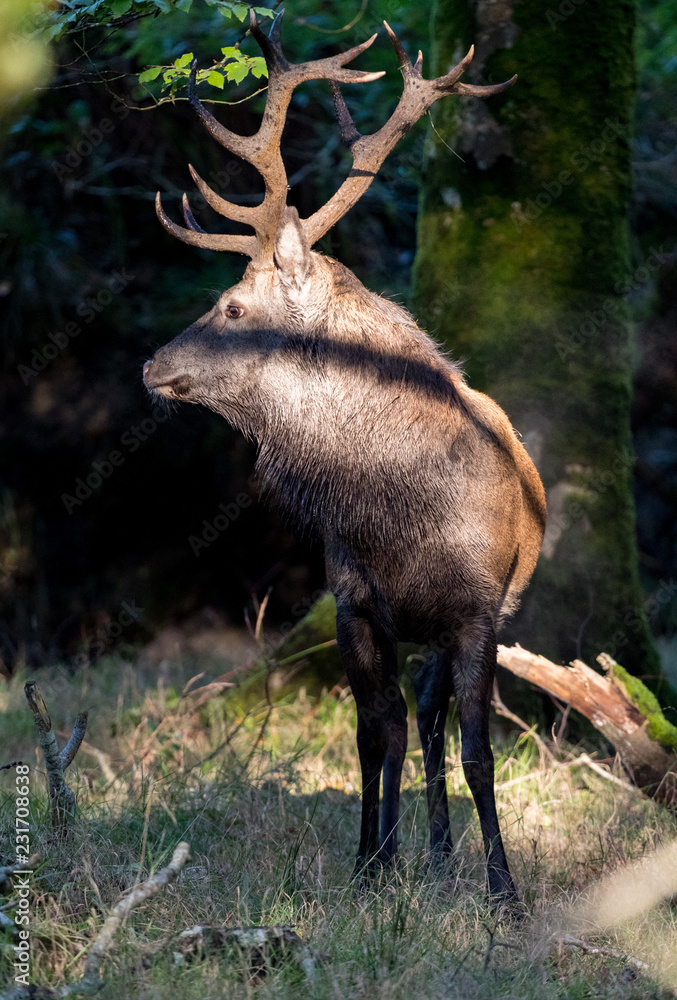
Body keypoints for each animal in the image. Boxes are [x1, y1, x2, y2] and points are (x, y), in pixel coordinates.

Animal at [143, 11, 546, 906]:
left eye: (231, 306)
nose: (150, 365)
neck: (400, 514)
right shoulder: (355, 601)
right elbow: (372, 736)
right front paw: (371, 866)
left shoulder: (476, 610)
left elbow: (478, 751)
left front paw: (502, 892)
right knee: (412, 722)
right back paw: (429, 853)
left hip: (479, 616)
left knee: (436, 723)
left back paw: (451, 856)